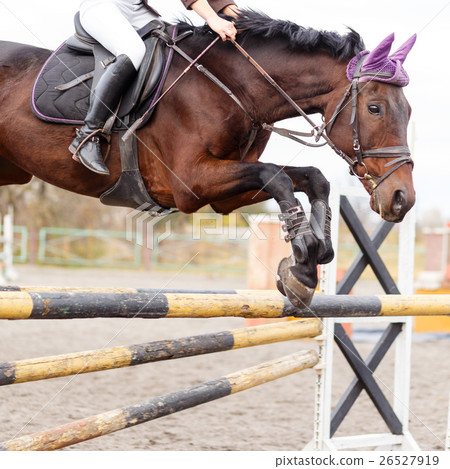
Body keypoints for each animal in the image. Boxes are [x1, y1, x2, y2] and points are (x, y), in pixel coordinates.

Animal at [0, 11, 414, 308]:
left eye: (408, 111)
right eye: (375, 108)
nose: (401, 199)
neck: (234, 85)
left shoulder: (225, 195)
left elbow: (312, 177)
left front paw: (313, 255)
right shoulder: (190, 182)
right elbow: (277, 177)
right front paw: (303, 261)